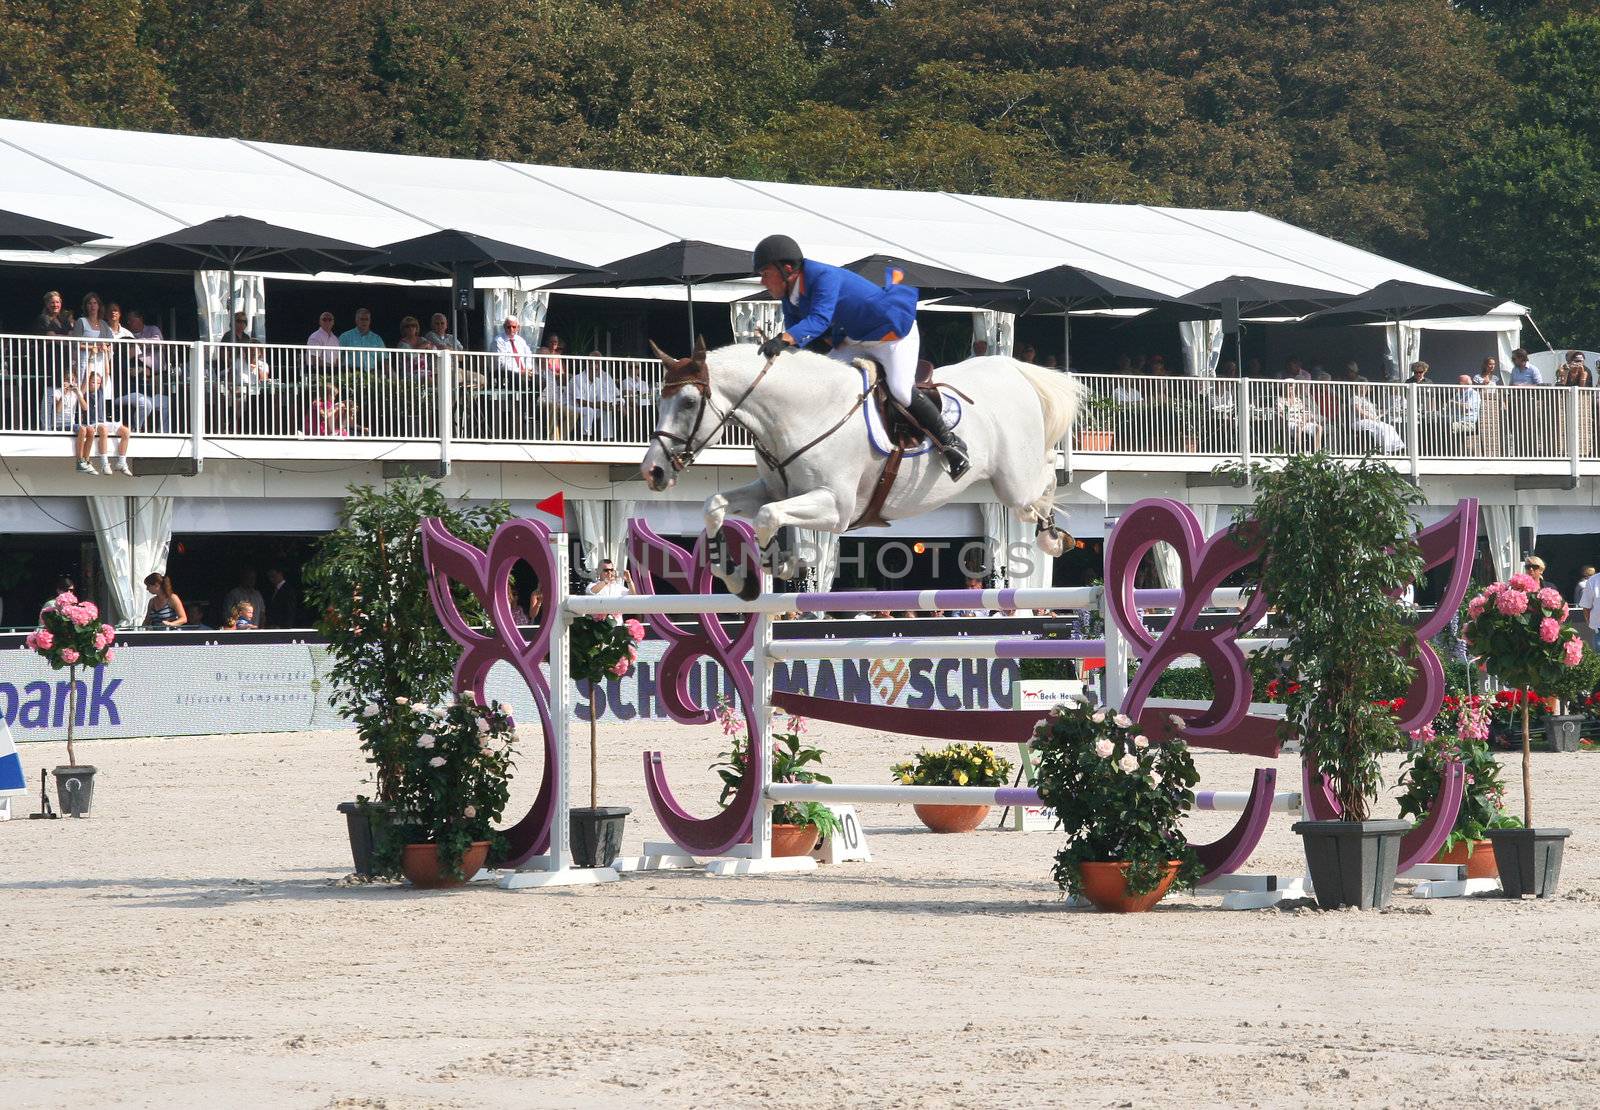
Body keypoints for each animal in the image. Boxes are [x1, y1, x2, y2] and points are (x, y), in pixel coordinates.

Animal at [643, 343, 1081, 594]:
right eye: (659, 400)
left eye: (687, 402)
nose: (653, 472)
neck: (803, 409)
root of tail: (1011, 369)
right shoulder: (775, 490)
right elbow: (716, 505)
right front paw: (736, 575)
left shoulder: (836, 508)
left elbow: (767, 516)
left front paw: (776, 564)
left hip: (1014, 483)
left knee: (1044, 479)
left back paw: (1051, 537)